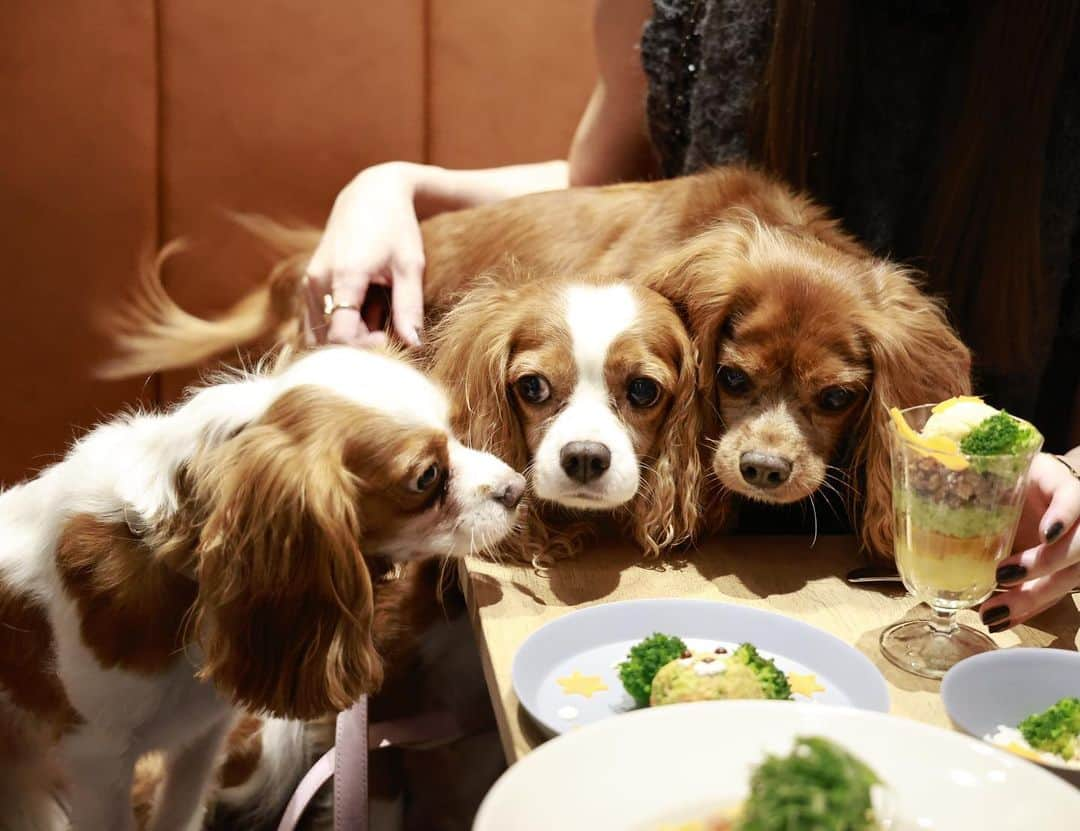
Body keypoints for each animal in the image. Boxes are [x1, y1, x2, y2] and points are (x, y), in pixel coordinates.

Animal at [0, 345, 522, 829]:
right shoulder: (99, 763)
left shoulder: (204, 734)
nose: (517, 488)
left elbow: (180, 809)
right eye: (427, 476)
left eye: (456, 430)